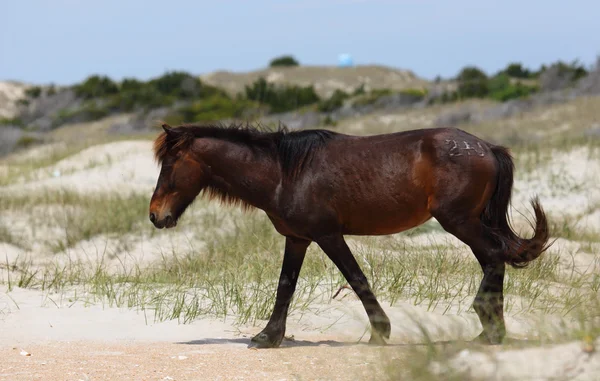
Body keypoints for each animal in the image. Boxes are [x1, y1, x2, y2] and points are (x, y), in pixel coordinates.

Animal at [148, 121, 552, 348]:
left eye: (169, 164)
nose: (155, 215)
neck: (284, 172)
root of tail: (488, 148)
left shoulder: (328, 236)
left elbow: (357, 279)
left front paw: (380, 333)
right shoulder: (298, 239)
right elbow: (285, 287)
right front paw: (268, 337)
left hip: (459, 222)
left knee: (495, 258)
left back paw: (490, 328)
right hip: (469, 223)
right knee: (494, 260)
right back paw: (490, 331)